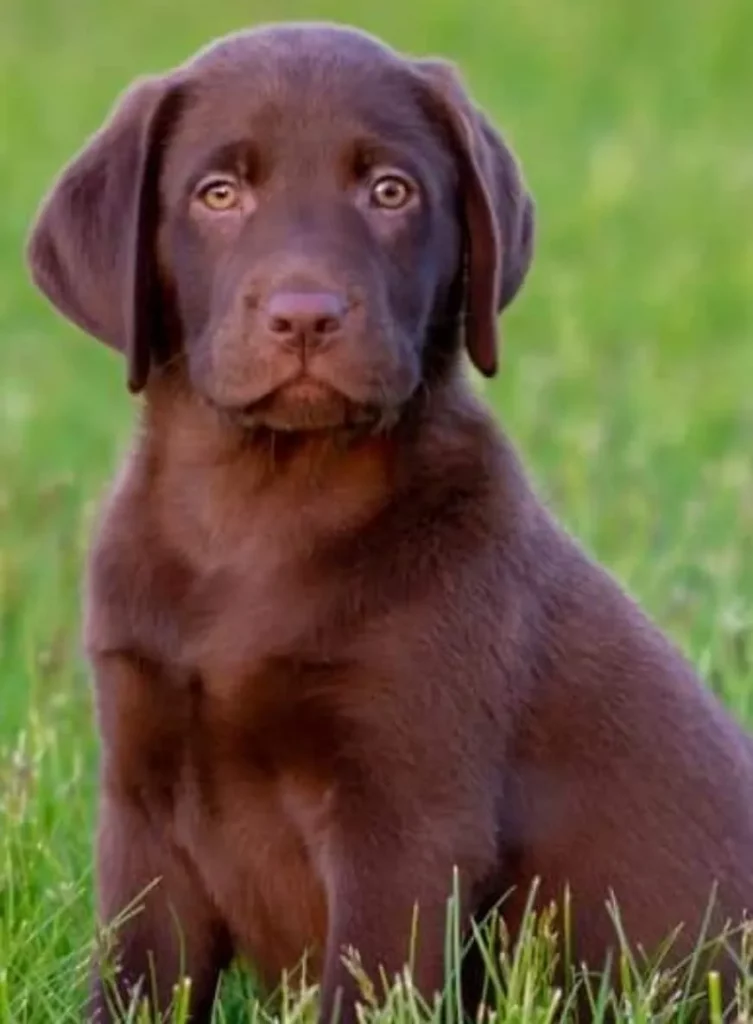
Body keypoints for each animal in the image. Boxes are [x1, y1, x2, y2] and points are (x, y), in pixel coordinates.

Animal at [25, 19, 753, 1024]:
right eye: (219, 194)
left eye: (389, 190)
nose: (305, 315)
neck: (262, 507)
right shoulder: (141, 809)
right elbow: (137, 980)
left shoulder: (404, 822)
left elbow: (368, 982)